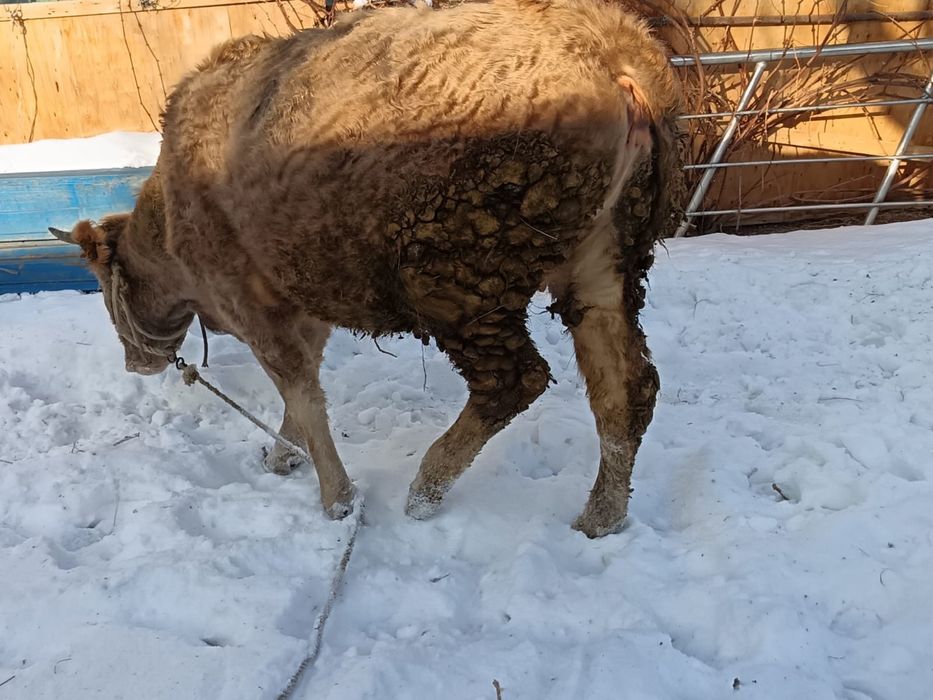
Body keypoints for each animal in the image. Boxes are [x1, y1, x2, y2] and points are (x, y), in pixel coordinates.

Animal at [50, 0, 683, 537]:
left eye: (103, 291)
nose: (136, 364)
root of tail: (608, 45)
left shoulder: (253, 302)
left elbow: (302, 393)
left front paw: (336, 497)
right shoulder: (305, 300)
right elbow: (301, 392)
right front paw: (285, 454)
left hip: (457, 272)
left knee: (513, 381)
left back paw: (427, 488)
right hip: (605, 259)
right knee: (626, 390)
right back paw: (601, 515)